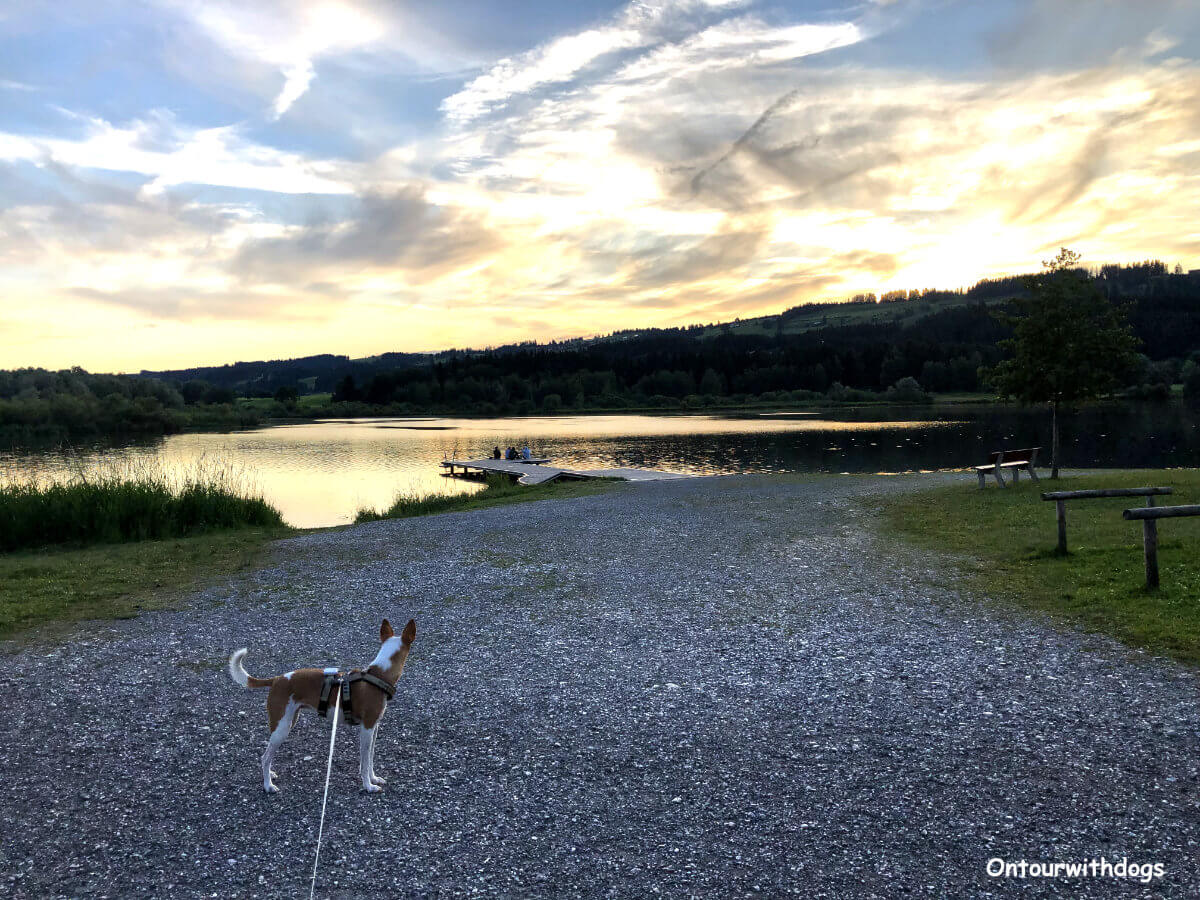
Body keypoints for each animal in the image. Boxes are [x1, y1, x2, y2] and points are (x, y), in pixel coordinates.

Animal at [229, 619, 417, 796]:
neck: (378, 675)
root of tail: (276, 679)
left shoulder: (373, 728)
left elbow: (370, 758)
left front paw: (374, 778)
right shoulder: (367, 728)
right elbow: (364, 762)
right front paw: (368, 786)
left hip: (289, 721)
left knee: (267, 757)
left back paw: (270, 774)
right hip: (282, 727)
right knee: (265, 757)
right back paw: (268, 785)